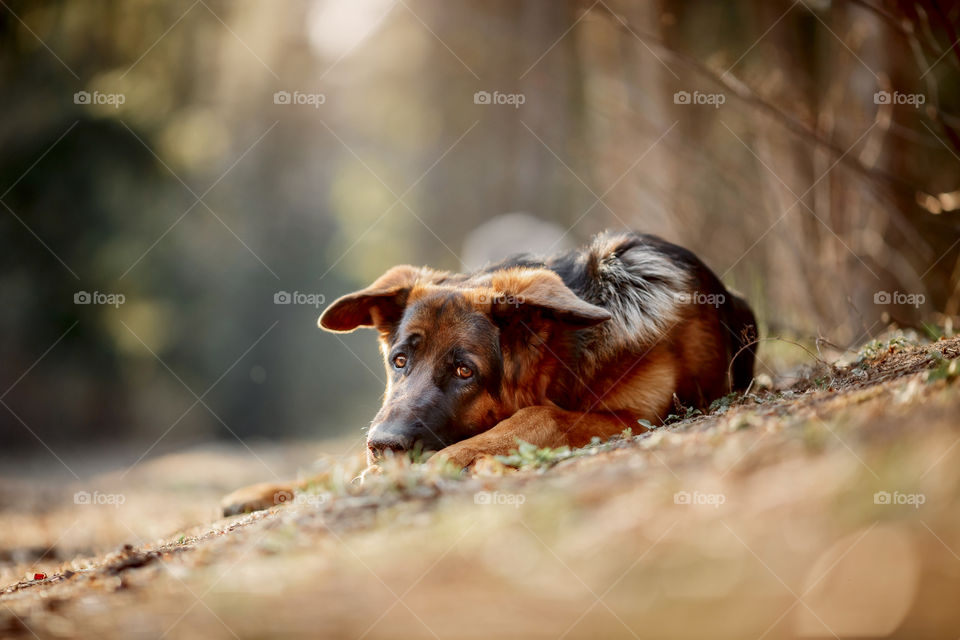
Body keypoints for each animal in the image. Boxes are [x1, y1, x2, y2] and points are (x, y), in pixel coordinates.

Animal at [223, 232, 756, 512]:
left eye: (464, 371)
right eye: (400, 361)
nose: (383, 445)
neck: (568, 352)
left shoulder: (634, 417)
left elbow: (539, 414)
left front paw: (446, 463)